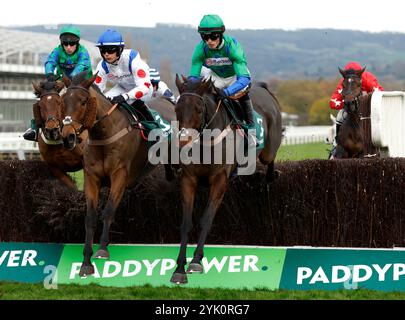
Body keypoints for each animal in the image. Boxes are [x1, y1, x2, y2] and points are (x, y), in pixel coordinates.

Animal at [60, 71, 174, 276]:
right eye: (63, 101)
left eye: (83, 101)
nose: (68, 136)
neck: (104, 134)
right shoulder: (91, 178)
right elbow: (90, 217)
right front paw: (86, 263)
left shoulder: (119, 176)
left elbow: (108, 211)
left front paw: (102, 250)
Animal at [170, 75, 280, 284]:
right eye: (177, 109)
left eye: (198, 109)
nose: (183, 141)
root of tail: (264, 89)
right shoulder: (188, 180)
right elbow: (186, 223)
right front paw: (179, 269)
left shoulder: (219, 181)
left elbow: (206, 219)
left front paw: (196, 261)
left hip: (268, 150)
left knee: (269, 159)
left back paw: (271, 176)